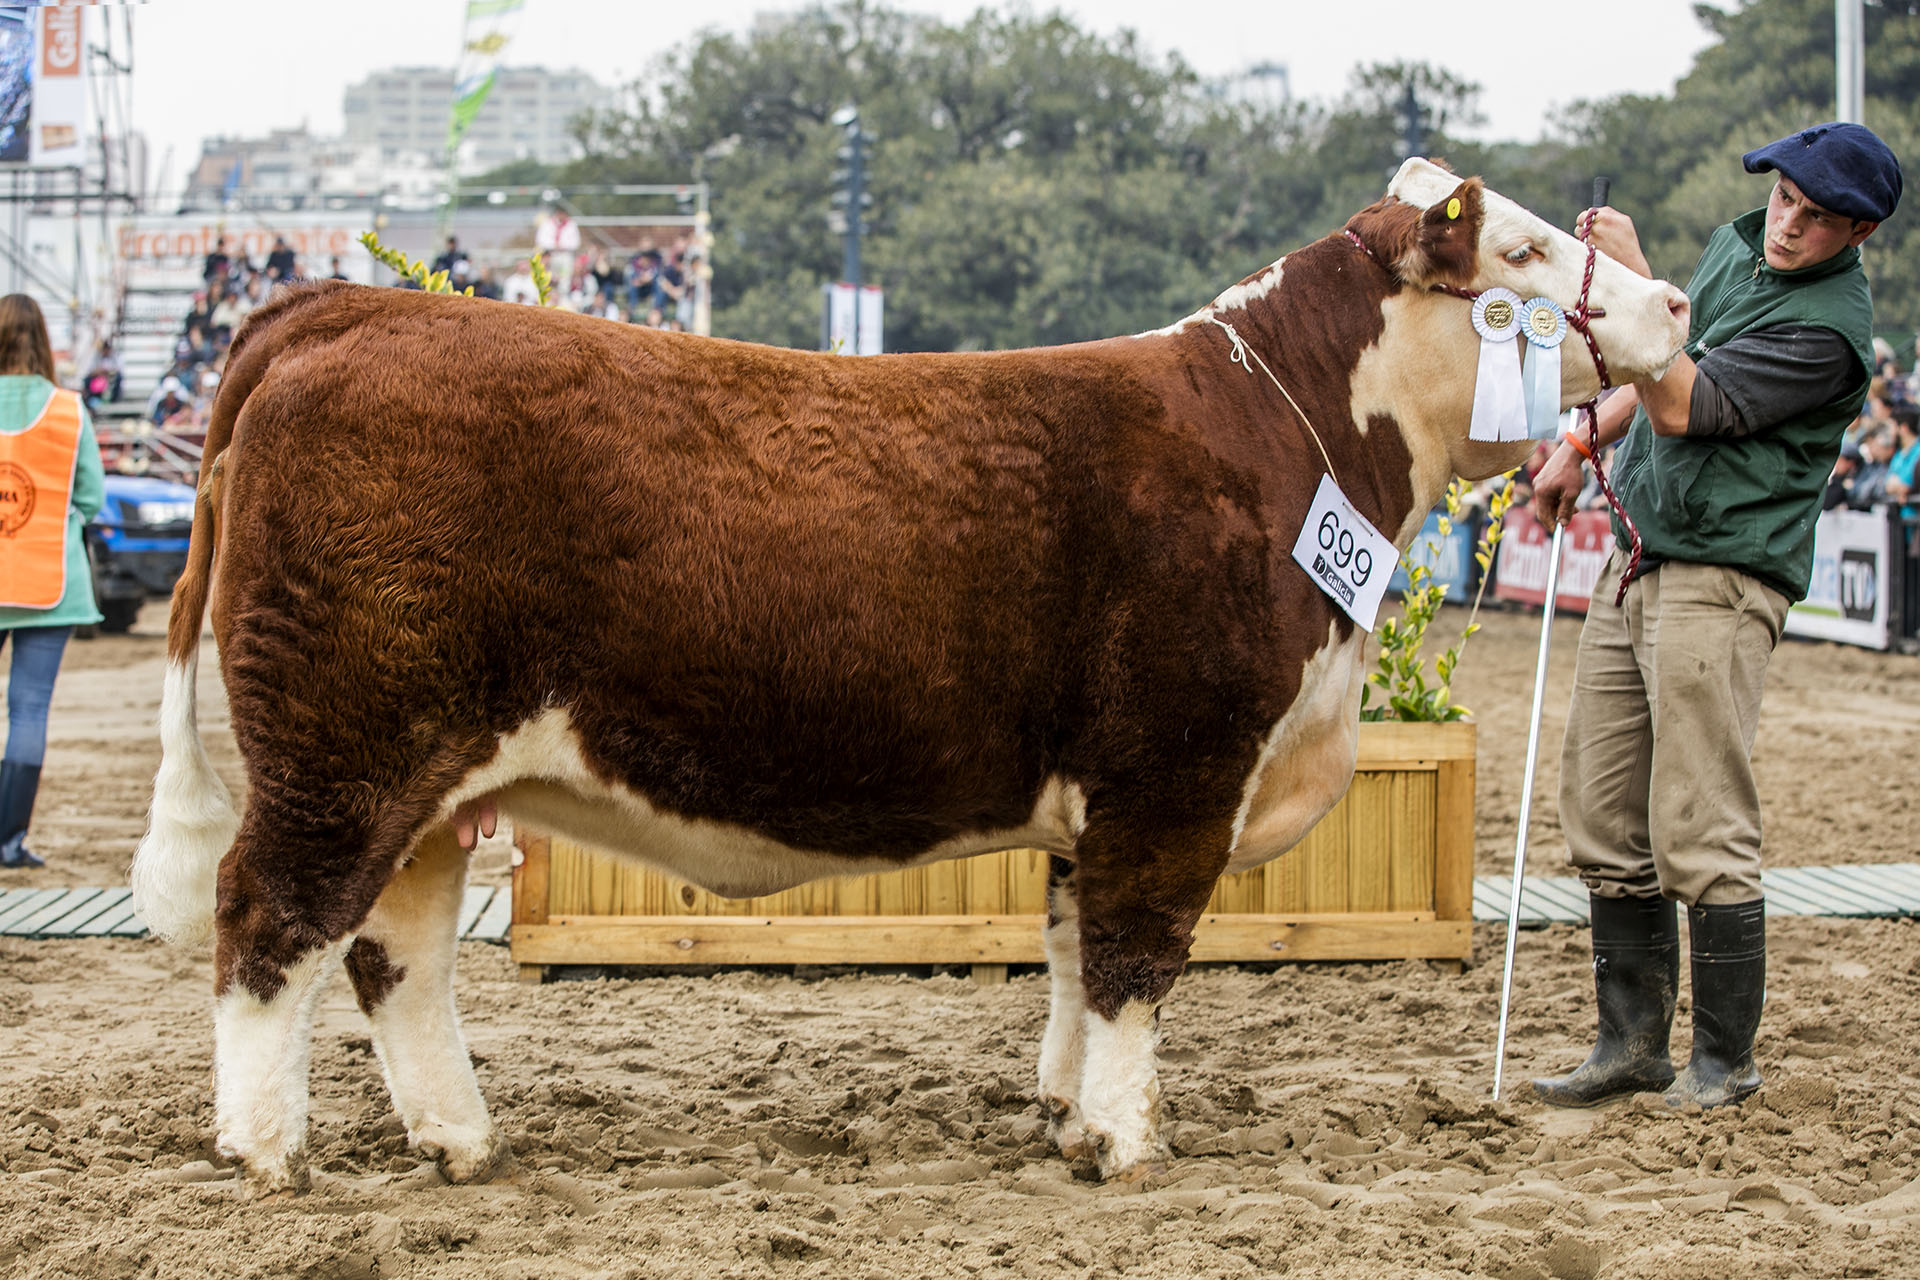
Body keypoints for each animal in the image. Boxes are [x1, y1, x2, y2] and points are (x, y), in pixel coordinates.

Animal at [127, 157, 1689, 1189]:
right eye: (1529, 257)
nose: (1673, 305)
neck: (1285, 432)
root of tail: (346, 310)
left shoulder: (1098, 795)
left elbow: (1071, 957)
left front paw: (1067, 1117)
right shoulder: (1177, 767)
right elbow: (1139, 959)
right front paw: (1129, 1145)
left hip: (434, 776)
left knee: (395, 950)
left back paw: (458, 1141)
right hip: (348, 748)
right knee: (268, 921)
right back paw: (268, 1156)